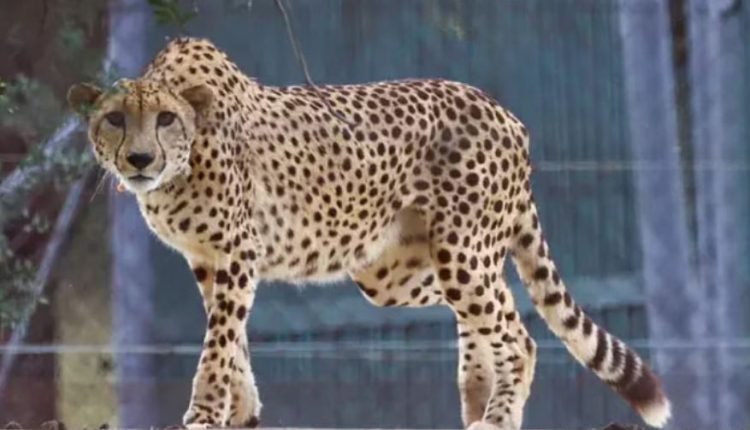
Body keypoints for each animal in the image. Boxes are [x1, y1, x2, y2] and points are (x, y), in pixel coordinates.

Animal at [68, 37, 671, 430]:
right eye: (114, 119)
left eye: (165, 119)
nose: (140, 159)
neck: (180, 164)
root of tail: (506, 113)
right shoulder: (207, 259)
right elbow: (229, 338)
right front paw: (242, 411)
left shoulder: (238, 251)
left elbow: (218, 342)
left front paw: (204, 413)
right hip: (401, 271)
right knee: (495, 302)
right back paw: (477, 397)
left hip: (458, 251)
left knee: (516, 331)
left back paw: (497, 417)